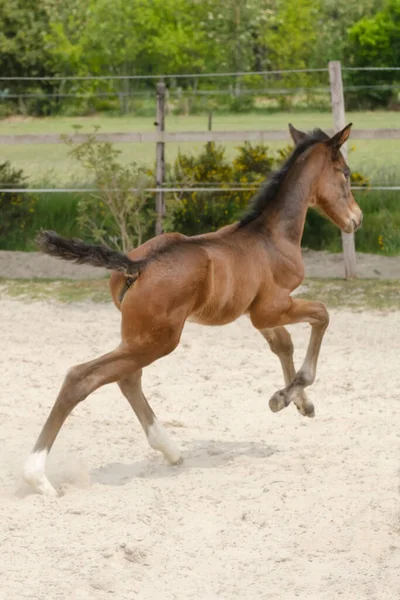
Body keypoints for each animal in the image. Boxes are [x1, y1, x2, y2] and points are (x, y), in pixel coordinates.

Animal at [24, 123, 362, 496]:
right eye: (345, 173)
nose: (356, 219)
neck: (272, 236)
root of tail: (139, 264)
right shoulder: (272, 307)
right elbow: (322, 315)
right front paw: (286, 395)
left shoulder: (257, 311)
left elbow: (283, 344)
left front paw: (299, 402)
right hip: (159, 340)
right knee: (82, 378)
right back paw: (37, 476)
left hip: (140, 337)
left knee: (127, 378)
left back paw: (170, 450)